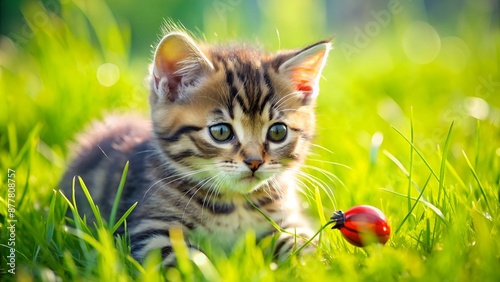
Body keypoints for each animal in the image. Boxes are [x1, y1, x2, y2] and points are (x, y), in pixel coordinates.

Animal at [60, 28, 330, 264]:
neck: (235, 203)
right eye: (221, 132)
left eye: (277, 132)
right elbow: (187, 260)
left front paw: (313, 265)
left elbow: (302, 243)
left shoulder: (289, 221)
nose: (254, 162)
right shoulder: (150, 229)